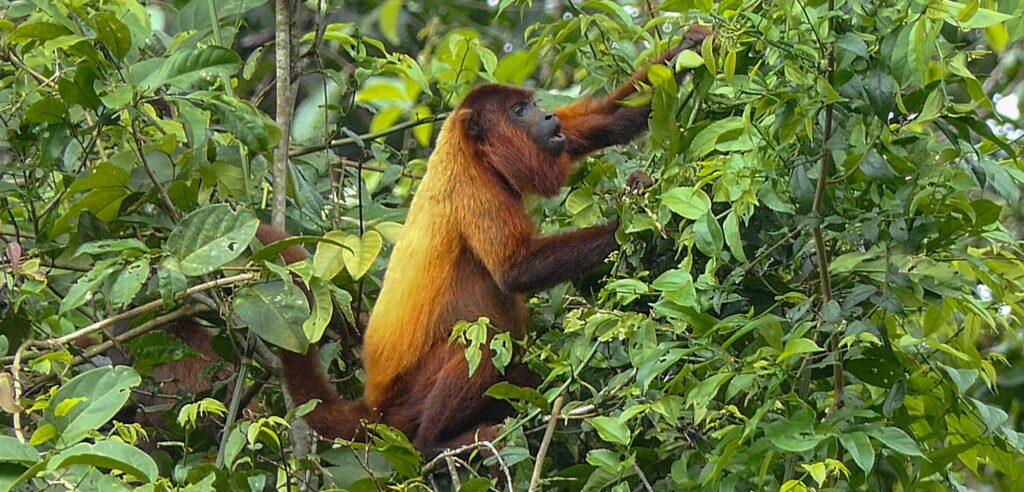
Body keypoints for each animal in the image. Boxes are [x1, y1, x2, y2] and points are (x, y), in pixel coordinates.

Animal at [264, 24, 708, 453]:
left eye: (533, 105)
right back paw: (437, 442)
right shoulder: (472, 186)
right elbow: (516, 268)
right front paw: (628, 223)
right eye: (519, 111)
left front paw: (690, 44)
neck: (476, 152)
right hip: (414, 396)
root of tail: (375, 410)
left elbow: (605, 121)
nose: (549, 116)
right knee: (486, 339)